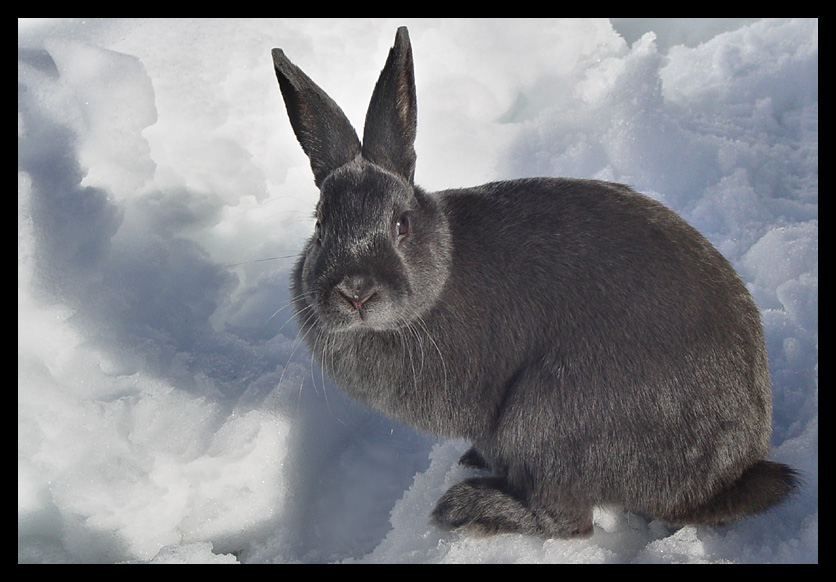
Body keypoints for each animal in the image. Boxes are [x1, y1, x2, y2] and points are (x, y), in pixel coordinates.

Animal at [272, 26, 800, 540]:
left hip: (548, 420)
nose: (354, 292)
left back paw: (467, 507)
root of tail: (724, 479)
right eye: (320, 224)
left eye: (401, 224)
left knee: (568, 521)